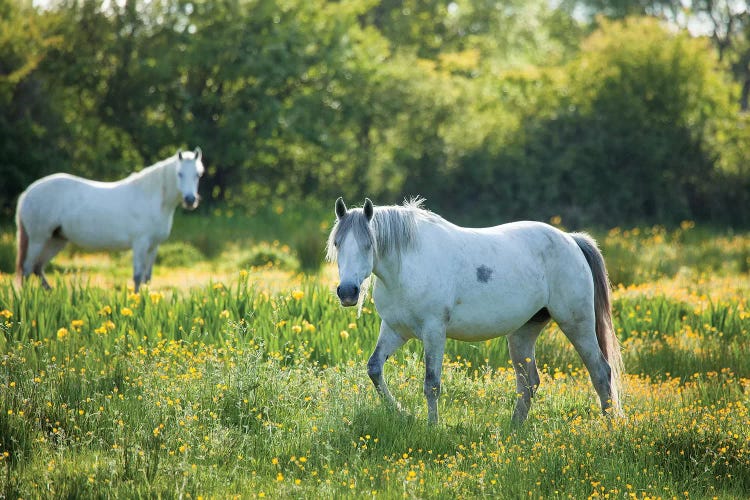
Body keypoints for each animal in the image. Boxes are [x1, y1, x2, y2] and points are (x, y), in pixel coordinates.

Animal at [16, 146, 206, 292]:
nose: (190, 200)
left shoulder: (153, 246)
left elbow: (147, 277)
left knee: (37, 268)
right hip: (38, 239)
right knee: (27, 269)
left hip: (56, 240)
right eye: (179, 174)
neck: (151, 197)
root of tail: (27, 193)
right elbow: (138, 276)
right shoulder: (140, 243)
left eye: (198, 174)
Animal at [326, 197, 624, 424]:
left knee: (600, 371)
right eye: (338, 244)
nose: (348, 292)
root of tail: (571, 241)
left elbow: (431, 383)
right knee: (528, 383)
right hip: (522, 333)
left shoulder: (434, 331)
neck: (406, 266)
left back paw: (608, 427)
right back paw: (514, 430)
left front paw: (432, 427)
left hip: (577, 324)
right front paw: (402, 413)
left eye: (368, 244)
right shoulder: (394, 330)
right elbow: (374, 368)